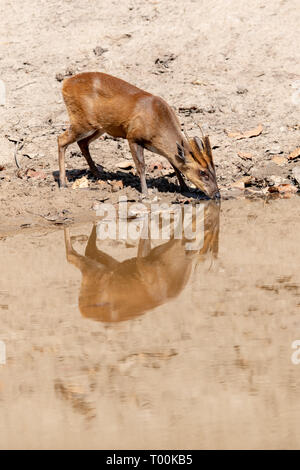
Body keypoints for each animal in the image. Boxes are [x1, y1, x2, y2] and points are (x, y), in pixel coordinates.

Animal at [57, 71, 219, 198]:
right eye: (203, 173)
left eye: (214, 171)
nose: (216, 194)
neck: (158, 120)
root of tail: (65, 84)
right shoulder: (133, 136)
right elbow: (141, 166)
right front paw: (145, 193)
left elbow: (174, 163)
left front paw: (184, 188)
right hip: (83, 121)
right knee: (61, 139)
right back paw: (63, 183)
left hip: (100, 127)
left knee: (82, 142)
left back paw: (99, 174)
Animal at [64, 200, 220, 322]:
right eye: (208, 223)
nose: (210, 207)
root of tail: (83, 311)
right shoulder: (144, 261)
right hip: (97, 273)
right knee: (72, 256)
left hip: (106, 267)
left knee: (88, 250)